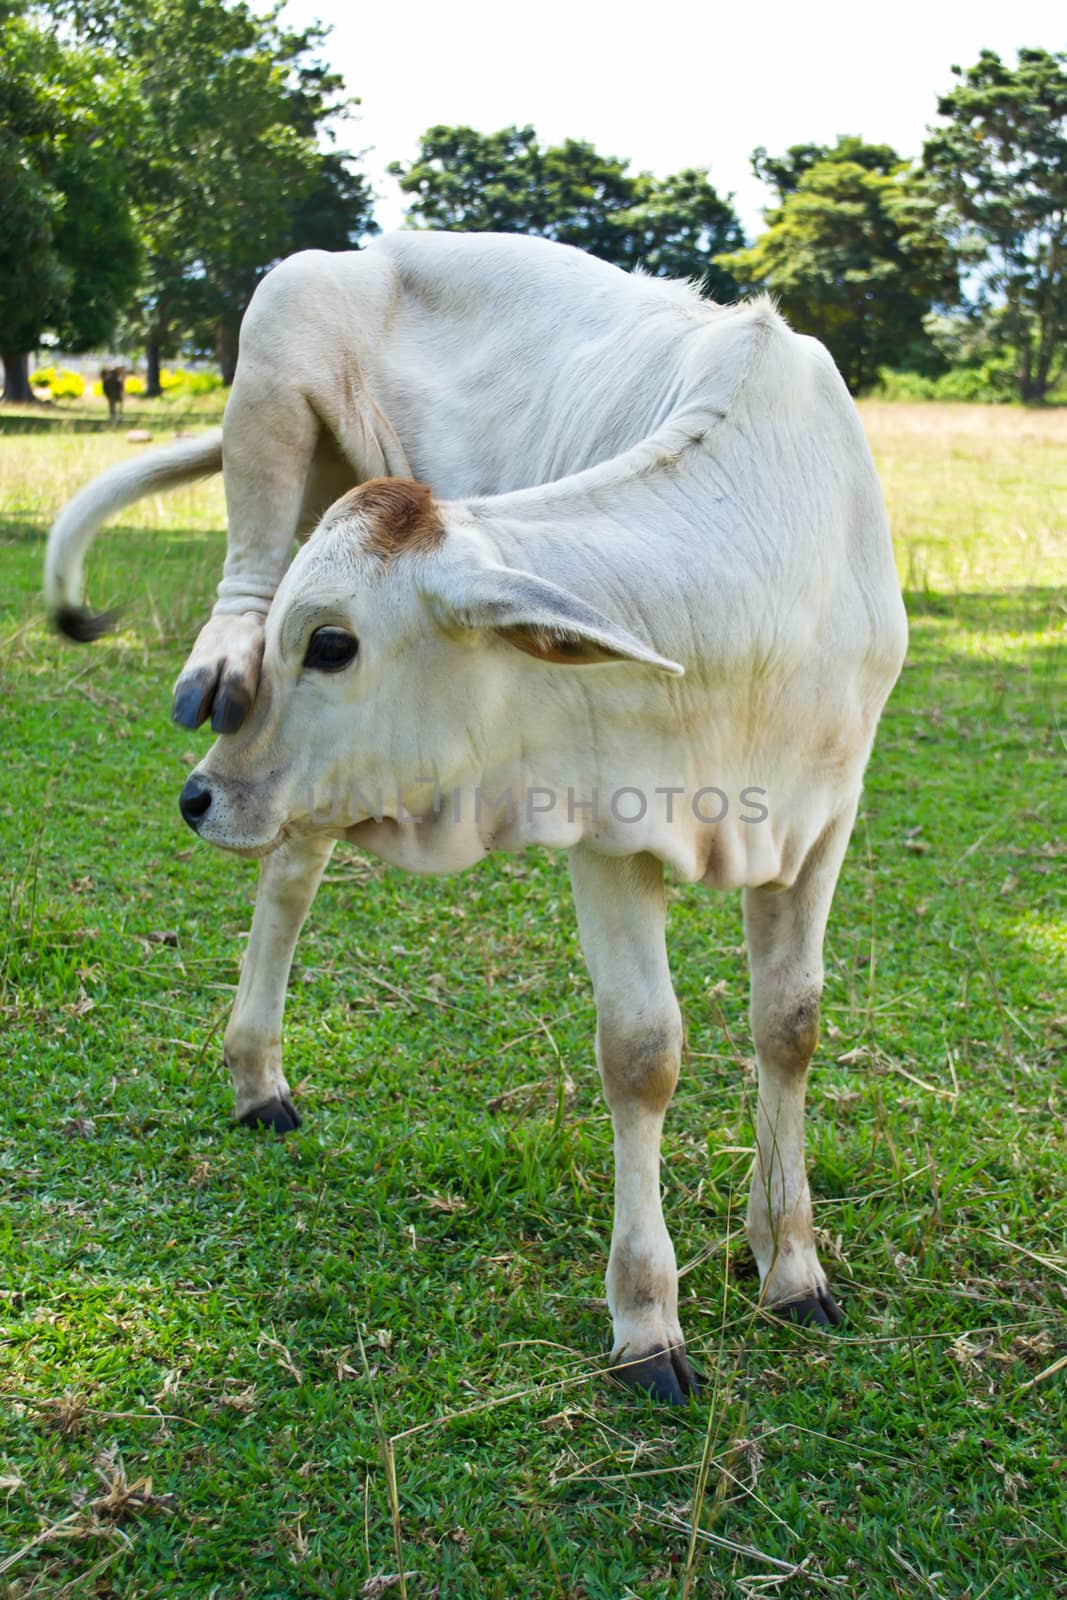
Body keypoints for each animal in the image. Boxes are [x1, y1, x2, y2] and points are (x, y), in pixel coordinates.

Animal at [45, 233, 908, 1401]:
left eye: (333, 643)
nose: (197, 796)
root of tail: (364, 248)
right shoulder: (608, 819)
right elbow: (642, 1050)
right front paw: (646, 1319)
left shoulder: (822, 820)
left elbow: (790, 1024)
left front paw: (790, 1263)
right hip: (276, 375)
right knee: (272, 755)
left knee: (293, 854)